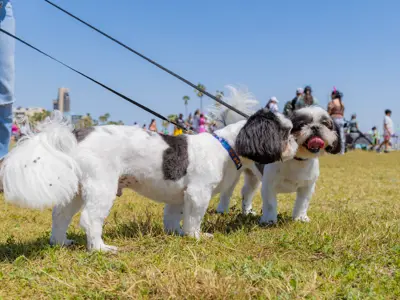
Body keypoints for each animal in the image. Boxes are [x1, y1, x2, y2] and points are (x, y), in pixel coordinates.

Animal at [0, 86, 296, 251]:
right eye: (285, 134)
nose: (295, 143)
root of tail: (76, 134)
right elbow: (194, 218)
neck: (225, 146)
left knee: (60, 216)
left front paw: (175, 233)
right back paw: (100, 248)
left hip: (77, 189)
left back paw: (60, 242)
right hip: (102, 186)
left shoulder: (179, 196)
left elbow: (174, 216)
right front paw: (195, 237)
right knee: (90, 219)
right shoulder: (198, 193)